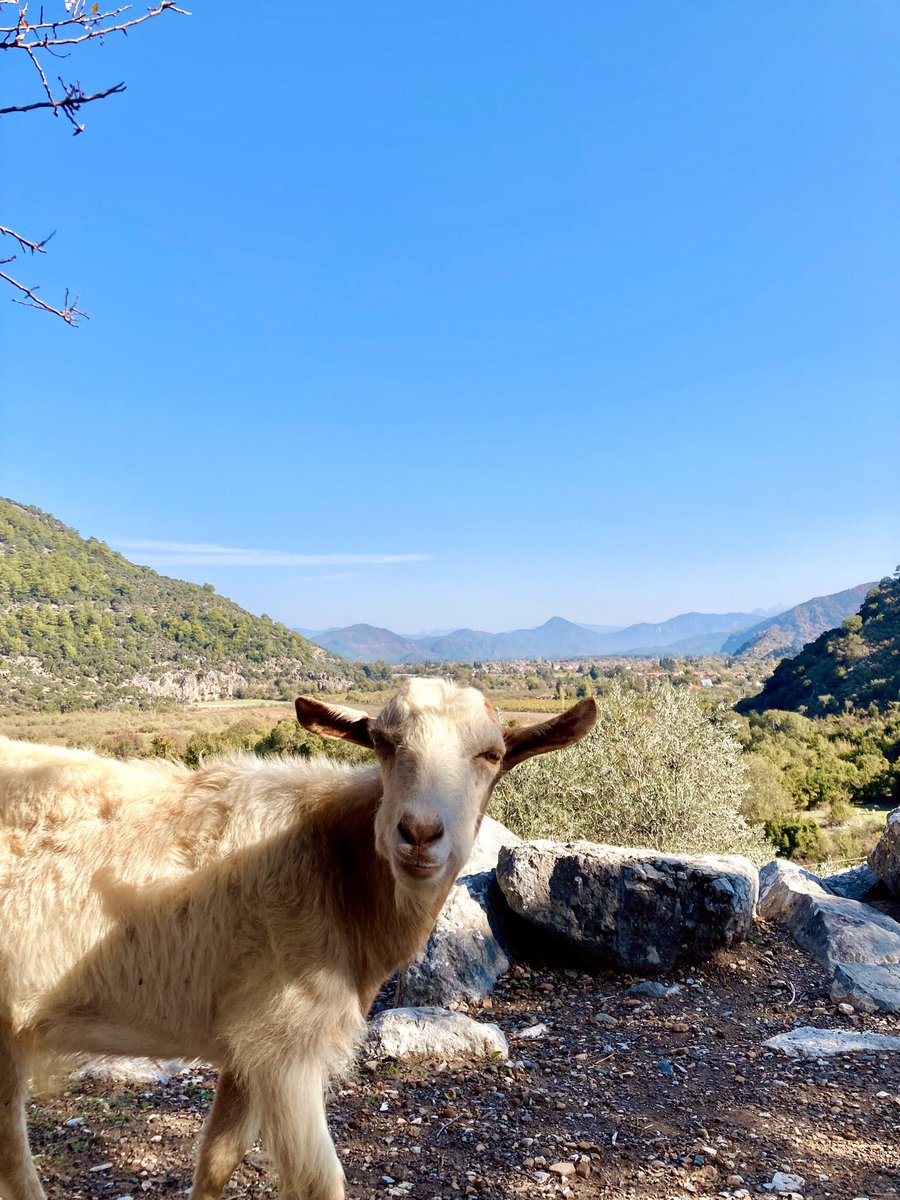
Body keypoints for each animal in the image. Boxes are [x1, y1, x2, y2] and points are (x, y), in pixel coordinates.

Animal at [0, 681, 595, 1195]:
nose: (420, 833)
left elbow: (216, 1159)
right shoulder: (286, 1041)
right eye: (383, 743)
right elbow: (316, 1182)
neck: (336, 865)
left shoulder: (247, 1042)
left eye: (491, 755)